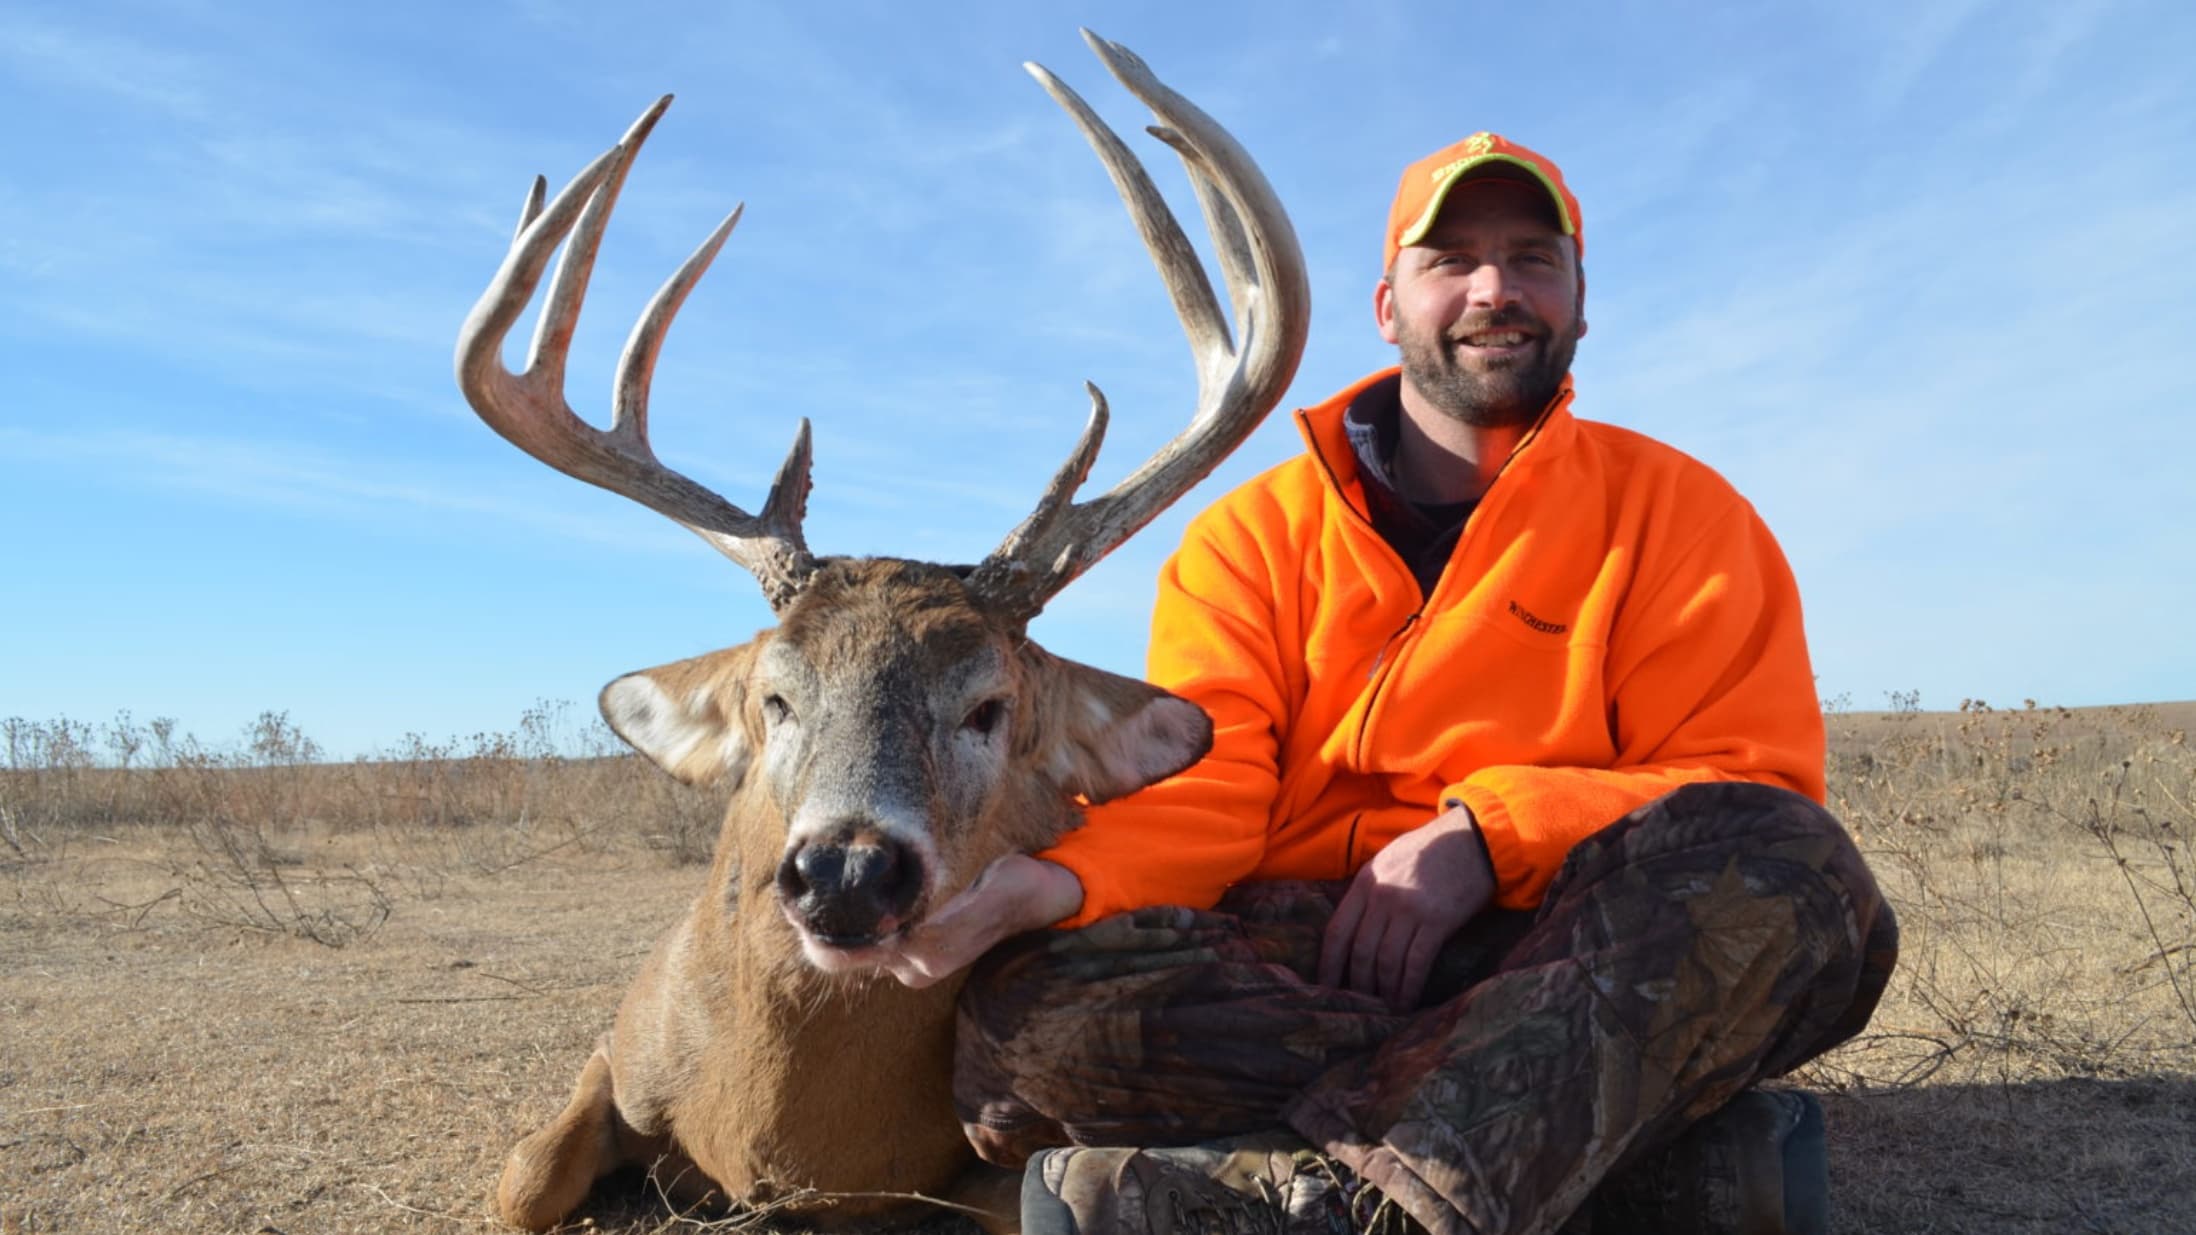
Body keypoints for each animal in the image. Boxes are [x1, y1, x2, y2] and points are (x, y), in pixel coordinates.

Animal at [453, 32, 1307, 1233]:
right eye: (773, 696)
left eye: (991, 706)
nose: (848, 869)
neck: (781, 1144)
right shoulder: (612, 1049)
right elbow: (525, 1179)